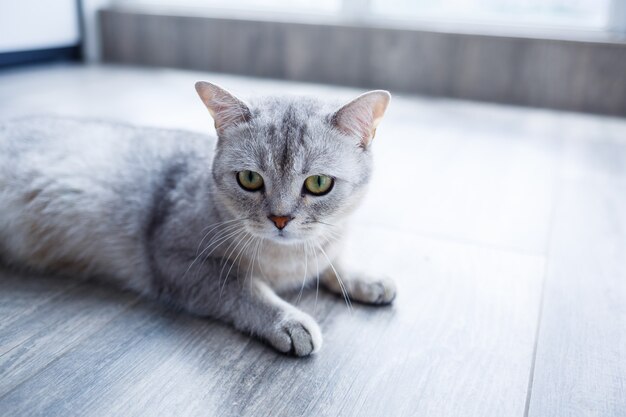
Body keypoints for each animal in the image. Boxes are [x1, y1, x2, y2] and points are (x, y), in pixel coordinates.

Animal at [0, 83, 394, 356]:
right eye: (249, 179)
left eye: (318, 183)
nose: (280, 219)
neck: (287, 260)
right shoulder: (176, 259)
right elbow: (245, 288)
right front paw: (288, 320)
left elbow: (334, 259)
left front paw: (364, 278)